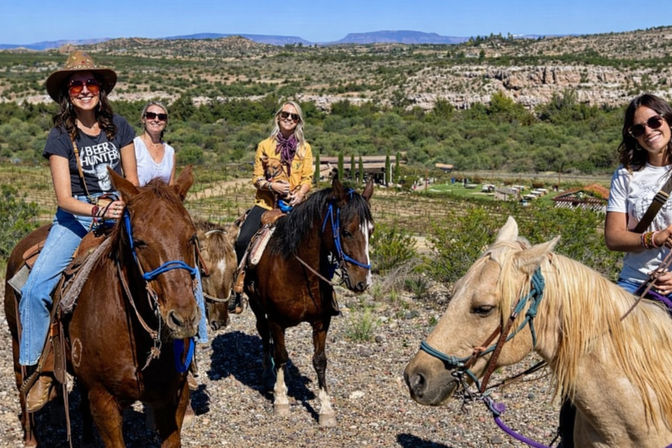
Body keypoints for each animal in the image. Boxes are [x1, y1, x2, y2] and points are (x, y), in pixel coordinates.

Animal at [4, 167, 201, 447]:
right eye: (139, 242)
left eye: (192, 236)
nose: (183, 318)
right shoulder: (104, 401)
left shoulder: (174, 396)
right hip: (17, 341)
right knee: (22, 380)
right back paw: (31, 433)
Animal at [244, 177, 374, 426]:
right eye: (346, 231)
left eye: (370, 231)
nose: (362, 282)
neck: (297, 269)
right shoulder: (276, 320)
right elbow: (282, 356)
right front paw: (281, 400)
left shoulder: (321, 322)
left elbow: (320, 361)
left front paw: (326, 409)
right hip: (256, 306)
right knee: (263, 334)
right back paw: (267, 373)